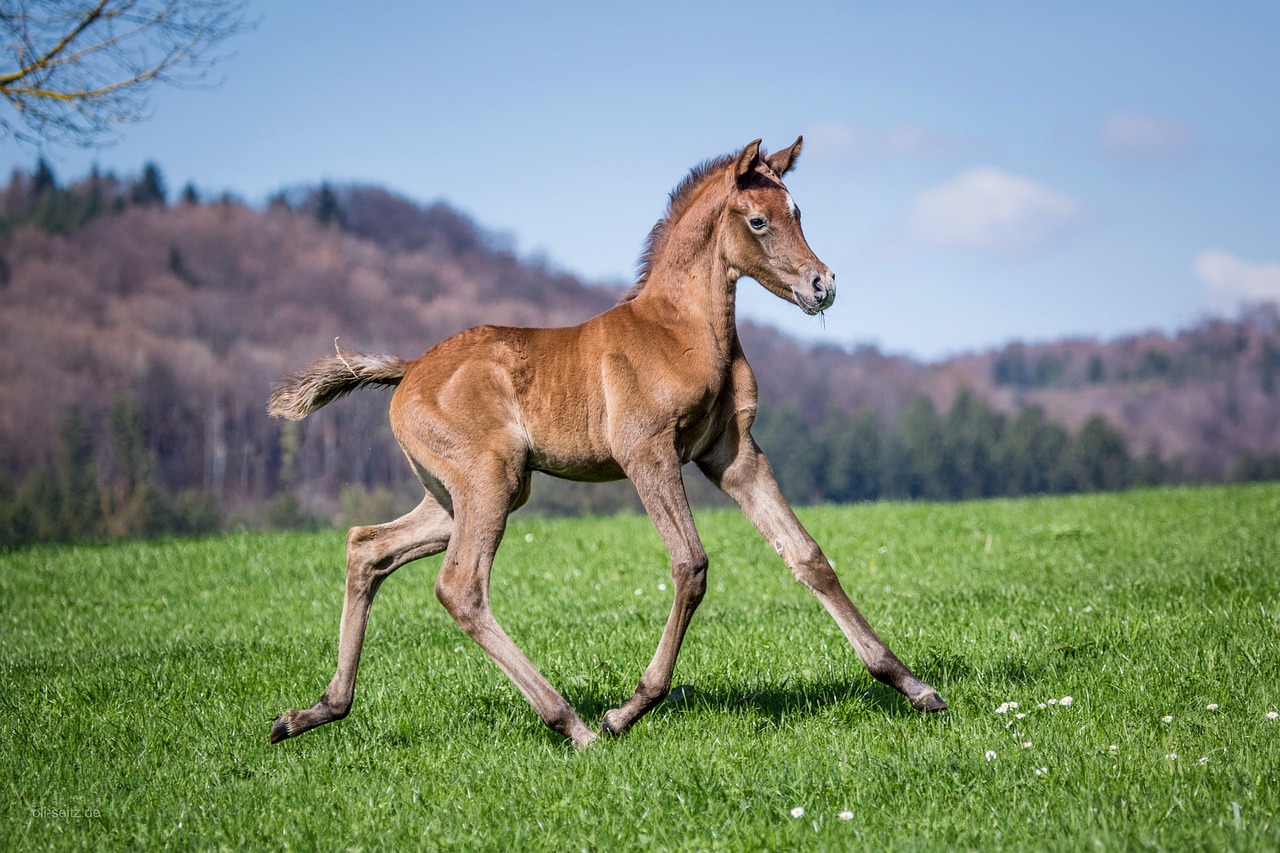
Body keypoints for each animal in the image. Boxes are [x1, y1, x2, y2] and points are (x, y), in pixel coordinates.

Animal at [267, 137, 946, 749]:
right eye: (758, 220)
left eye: (798, 212)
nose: (821, 284)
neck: (683, 332)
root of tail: (408, 371)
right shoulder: (648, 453)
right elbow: (690, 565)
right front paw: (631, 708)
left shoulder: (733, 456)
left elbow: (807, 556)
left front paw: (913, 686)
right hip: (490, 482)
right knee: (459, 586)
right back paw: (577, 726)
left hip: (460, 495)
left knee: (368, 548)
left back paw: (312, 712)